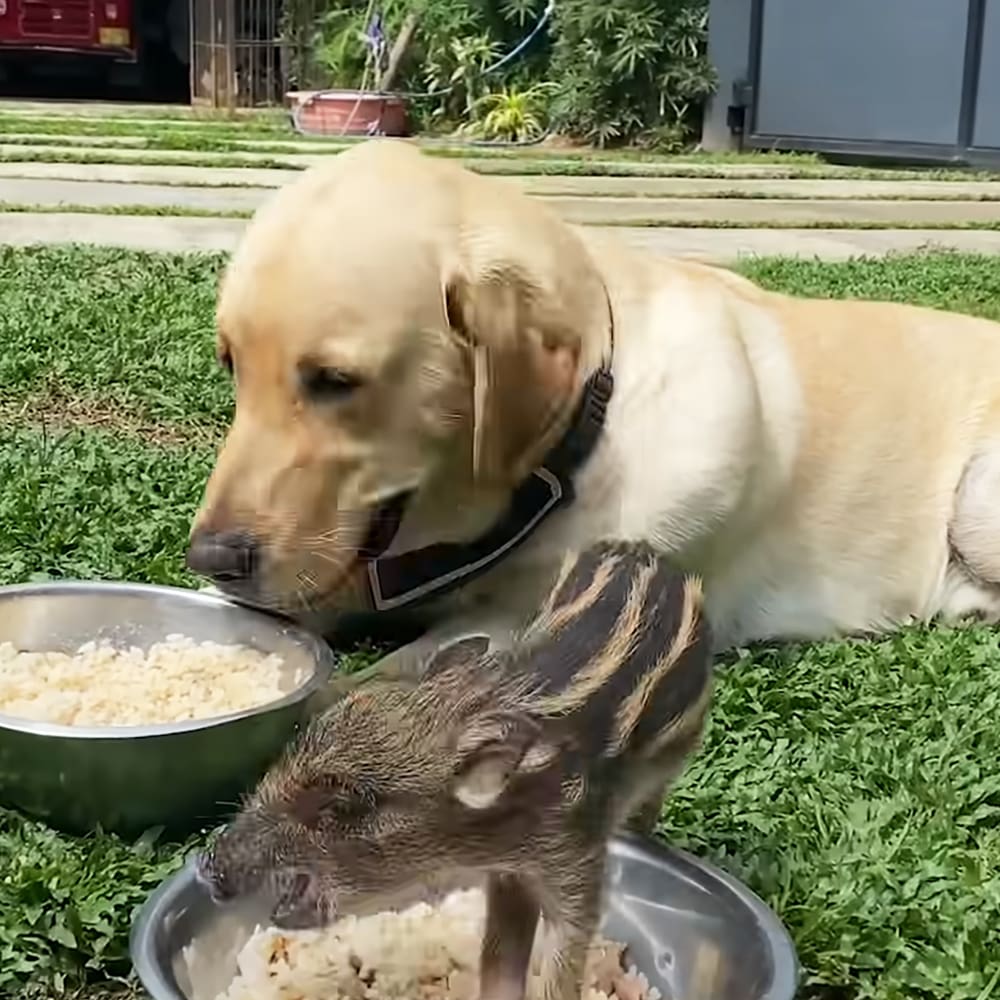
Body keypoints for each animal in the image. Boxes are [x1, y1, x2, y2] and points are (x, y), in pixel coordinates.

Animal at [198, 539, 713, 1000]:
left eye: (342, 806)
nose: (209, 867)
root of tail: (648, 552)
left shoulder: (576, 865)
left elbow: (560, 966)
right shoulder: (511, 874)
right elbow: (500, 955)